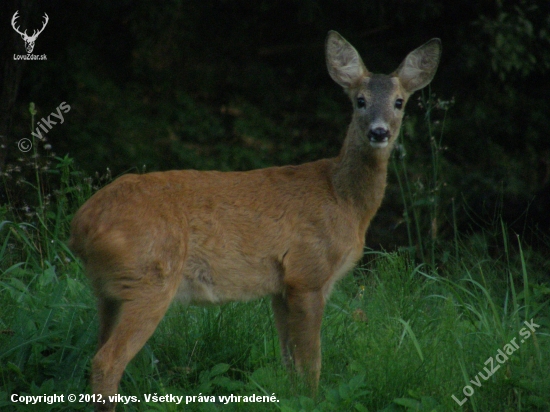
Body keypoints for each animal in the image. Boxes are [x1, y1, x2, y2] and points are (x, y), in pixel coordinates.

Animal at [69, 30, 442, 410]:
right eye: (360, 101)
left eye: (399, 102)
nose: (379, 133)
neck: (343, 200)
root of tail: (81, 224)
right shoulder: (308, 273)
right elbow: (312, 361)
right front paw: (313, 401)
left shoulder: (280, 286)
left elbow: (289, 360)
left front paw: (293, 398)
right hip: (150, 277)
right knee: (107, 361)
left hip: (108, 290)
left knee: (97, 350)